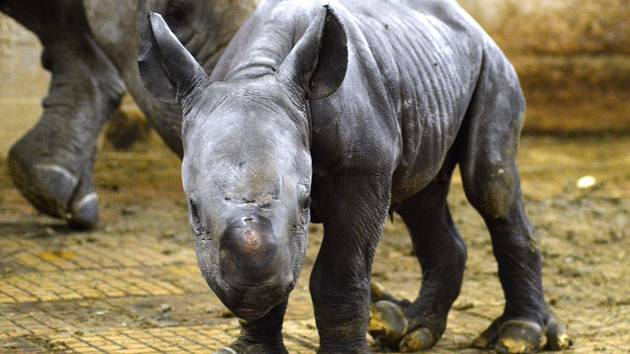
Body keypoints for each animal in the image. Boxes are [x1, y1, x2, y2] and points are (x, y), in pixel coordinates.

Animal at [138, 0, 572, 354]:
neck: (257, 74)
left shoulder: (362, 169)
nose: (252, 286)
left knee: (490, 184)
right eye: (193, 209)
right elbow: (284, 267)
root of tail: (471, 21)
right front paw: (253, 347)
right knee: (422, 198)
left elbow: (337, 275)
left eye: (304, 203)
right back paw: (409, 331)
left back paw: (518, 335)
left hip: (493, 64)